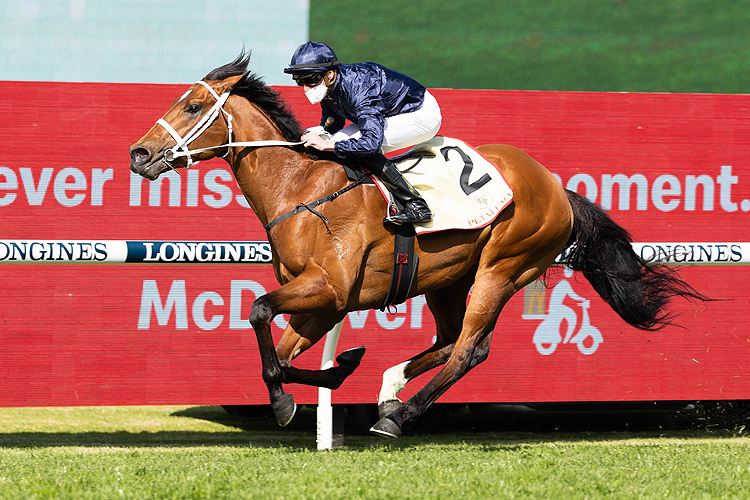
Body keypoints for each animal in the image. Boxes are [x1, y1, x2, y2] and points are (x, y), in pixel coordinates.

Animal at [126, 53, 708, 438]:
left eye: (193, 105)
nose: (139, 154)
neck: (301, 189)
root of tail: (555, 187)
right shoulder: (325, 301)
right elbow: (283, 352)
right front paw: (336, 370)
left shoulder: (328, 288)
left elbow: (258, 311)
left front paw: (301, 394)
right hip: (447, 279)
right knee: (451, 341)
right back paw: (389, 392)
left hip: (503, 267)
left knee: (470, 348)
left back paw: (400, 417)